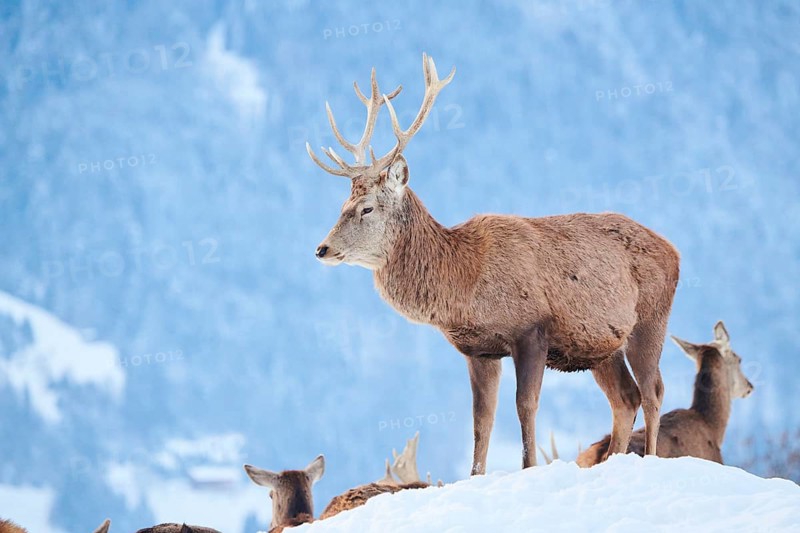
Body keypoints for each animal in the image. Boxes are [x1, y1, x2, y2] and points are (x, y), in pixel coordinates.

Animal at [307, 53, 681, 474]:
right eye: (343, 204)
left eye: (366, 208)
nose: (322, 249)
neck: (465, 282)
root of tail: (675, 251)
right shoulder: (480, 351)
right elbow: (481, 419)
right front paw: (476, 474)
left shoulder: (532, 329)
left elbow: (526, 406)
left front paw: (528, 467)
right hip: (601, 345)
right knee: (625, 398)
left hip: (651, 319)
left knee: (653, 391)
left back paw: (650, 457)